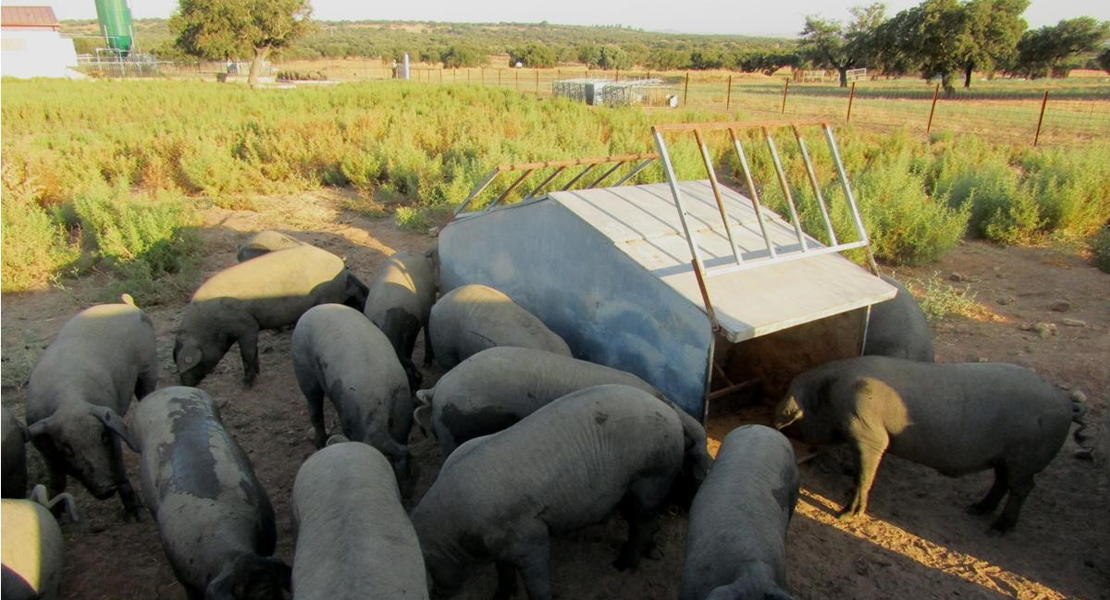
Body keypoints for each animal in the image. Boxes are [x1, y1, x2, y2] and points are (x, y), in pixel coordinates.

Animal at [24, 292, 156, 516]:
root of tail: (128, 305)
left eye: (102, 437)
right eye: (66, 447)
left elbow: (119, 467)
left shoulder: (111, 428)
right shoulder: (45, 451)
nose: (106, 488)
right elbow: (57, 482)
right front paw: (55, 515)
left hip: (149, 366)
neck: (69, 402)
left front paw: (137, 515)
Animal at [772, 354, 1083, 527]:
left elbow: (865, 474)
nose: (773, 421)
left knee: (1023, 487)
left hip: (1025, 459)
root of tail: (1065, 402)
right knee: (1002, 482)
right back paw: (975, 510)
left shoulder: (869, 432)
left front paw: (846, 516)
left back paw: (999, 527)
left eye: (789, 398)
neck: (830, 395)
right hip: (1007, 459)